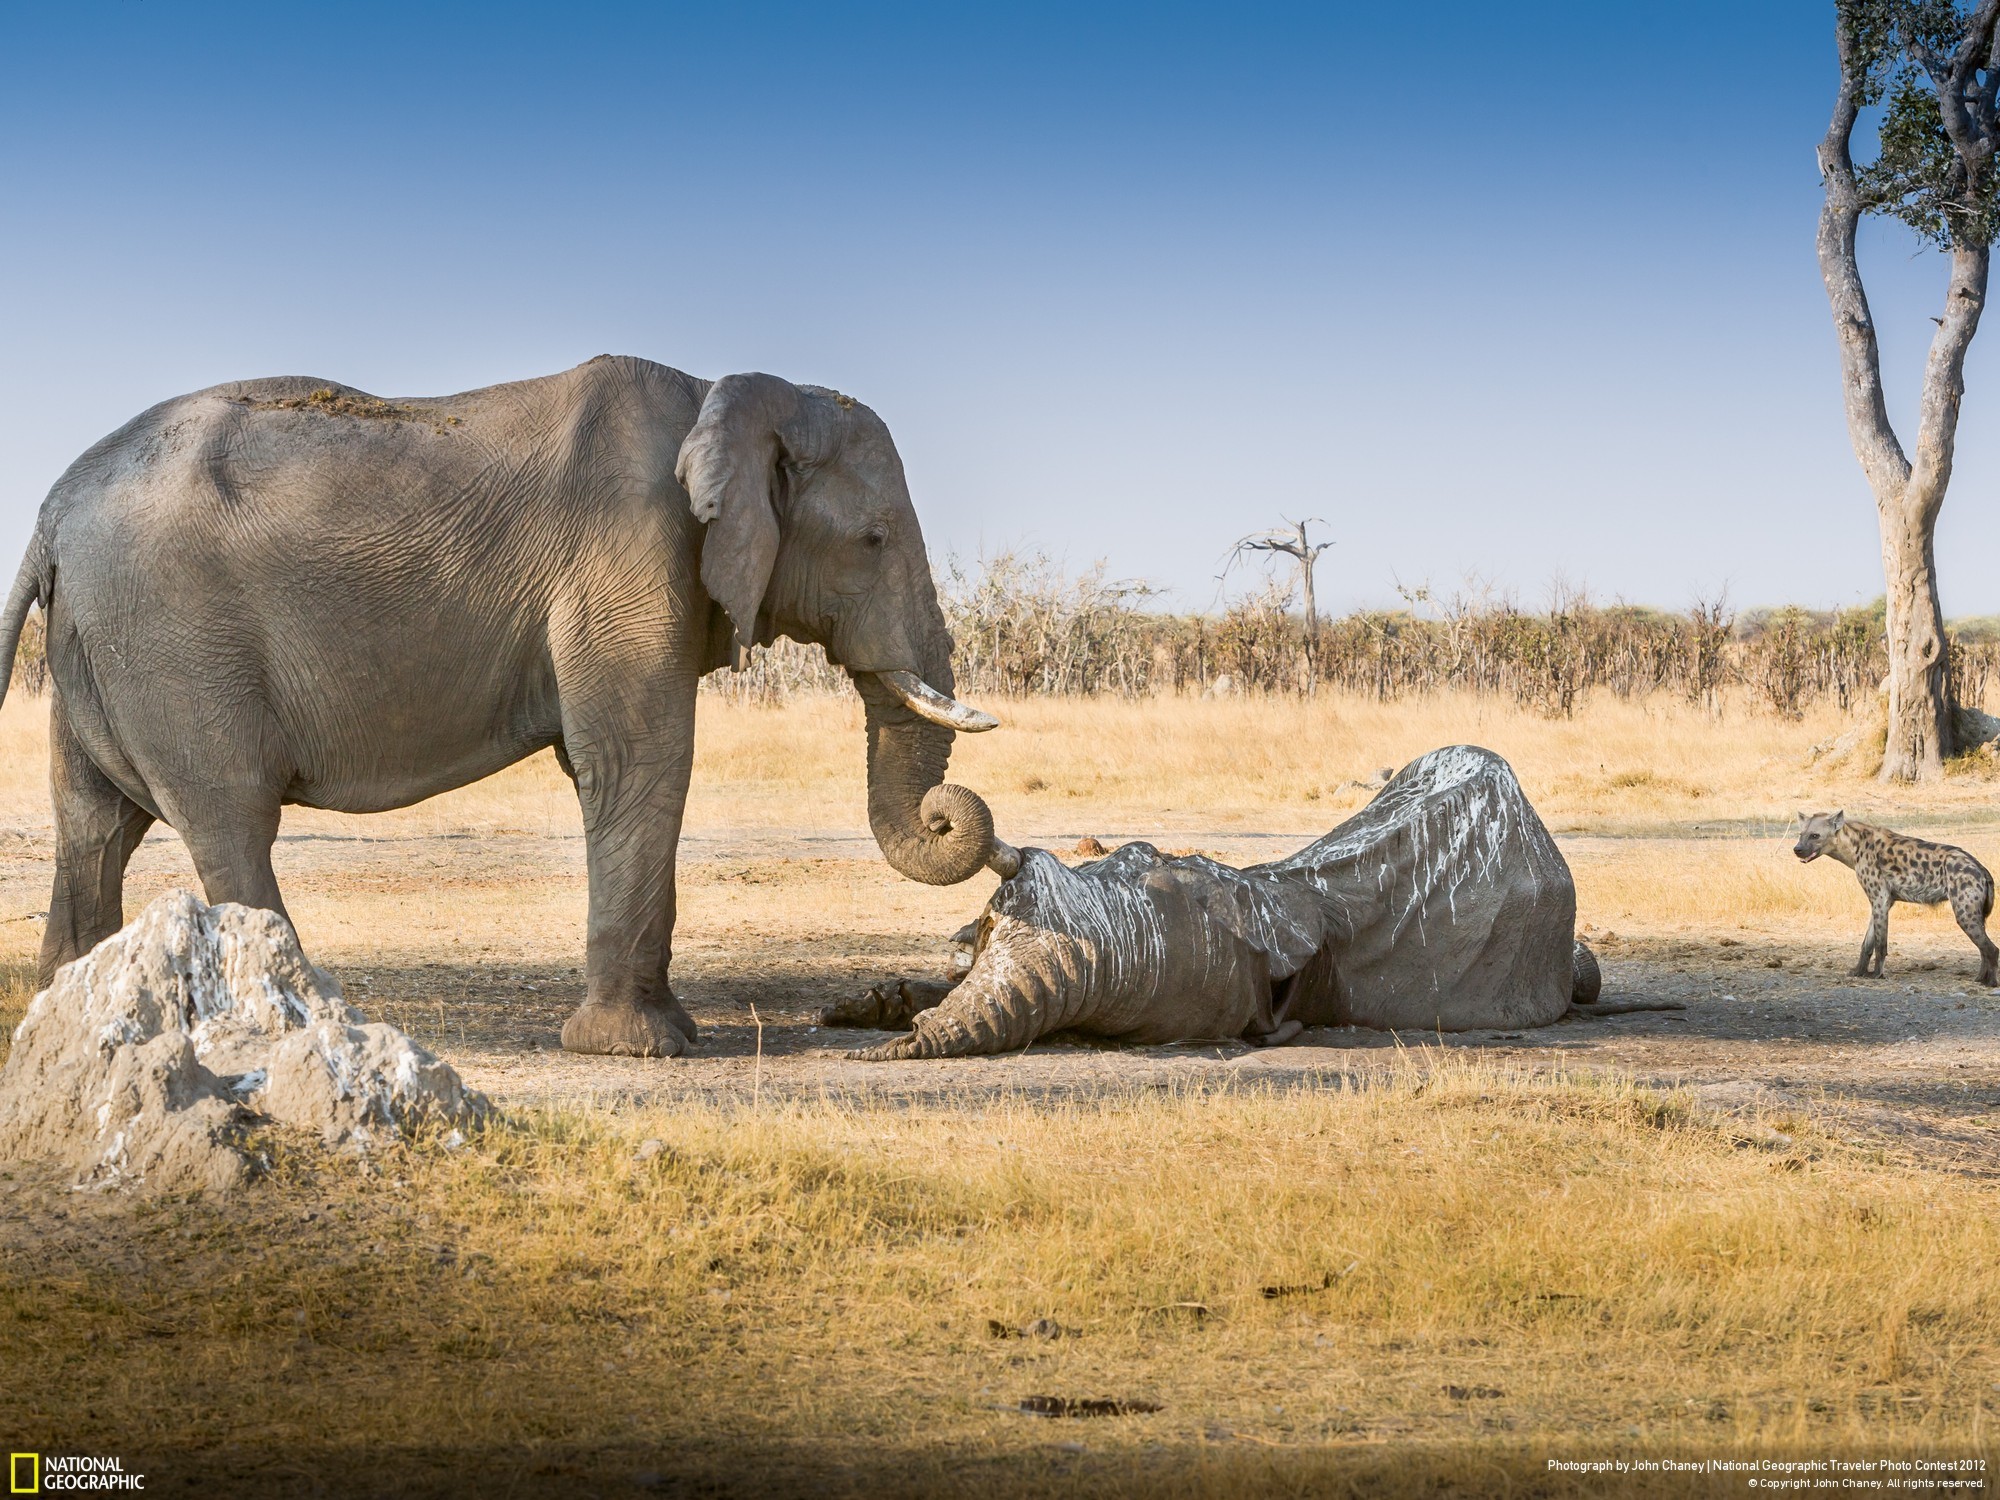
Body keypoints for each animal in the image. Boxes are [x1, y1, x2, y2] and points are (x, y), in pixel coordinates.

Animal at [0, 356, 1000, 1056]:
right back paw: (298, 1023)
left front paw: (668, 1033)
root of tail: (51, 507)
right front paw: (641, 1050)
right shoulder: (629, 559)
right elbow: (638, 761)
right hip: (173, 640)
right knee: (230, 819)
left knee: (94, 824)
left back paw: (66, 1014)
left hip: (103, 644)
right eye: (874, 540)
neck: (724, 392)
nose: (946, 819)